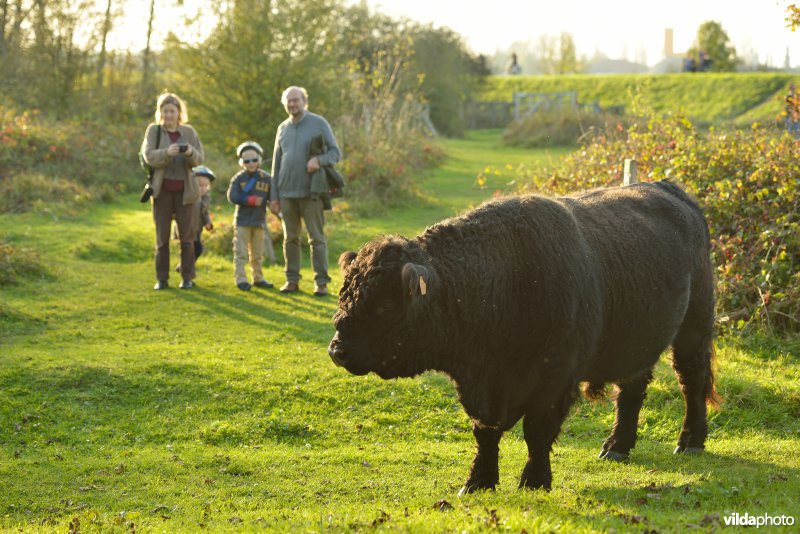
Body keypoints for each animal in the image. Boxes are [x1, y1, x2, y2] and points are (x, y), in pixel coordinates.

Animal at [324, 182, 720, 496]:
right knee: (632, 390)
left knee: (692, 381)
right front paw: (477, 482)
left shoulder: (554, 379)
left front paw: (534, 480)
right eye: (345, 296)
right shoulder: (481, 387)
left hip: (694, 328)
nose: (338, 349)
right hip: (637, 344)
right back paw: (616, 447)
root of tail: (672, 190)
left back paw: (690, 442)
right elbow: (485, 433)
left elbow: (537, 431)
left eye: (382, 305)